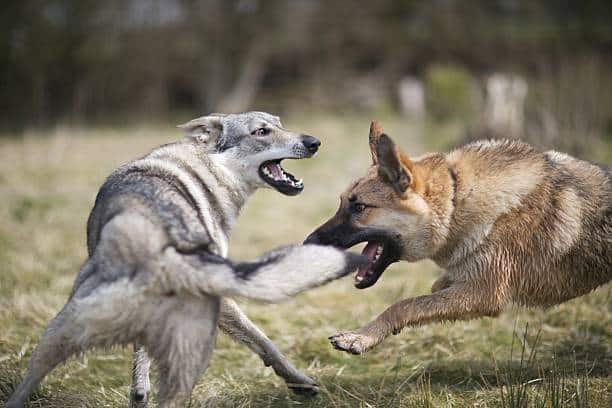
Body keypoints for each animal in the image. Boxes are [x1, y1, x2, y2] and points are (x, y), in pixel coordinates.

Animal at [7, 111, 366, 408]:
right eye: (261, 131)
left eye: (280, 123)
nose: (314, 142)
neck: (208, 166)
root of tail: (149, 251)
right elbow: (264, 341)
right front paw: (301, 383)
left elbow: (140, 365)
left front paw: (139, 391)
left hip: (53, 339)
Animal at [306, 120, 612, 354]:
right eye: (342, 203)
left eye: (359, 208)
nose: (308, 243)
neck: (457, 198)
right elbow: (432, 291)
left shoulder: (483, 293)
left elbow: (403, 305)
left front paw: (360, 338)